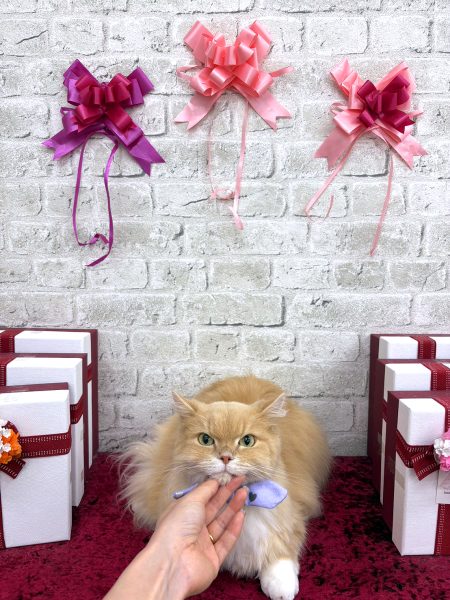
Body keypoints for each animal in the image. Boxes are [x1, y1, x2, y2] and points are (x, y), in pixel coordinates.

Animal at [120, 375, 331, 600]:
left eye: (247, 441)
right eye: (205, 439)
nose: (226, 457)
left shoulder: (290, 515)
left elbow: (282, 553)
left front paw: (281, 586)